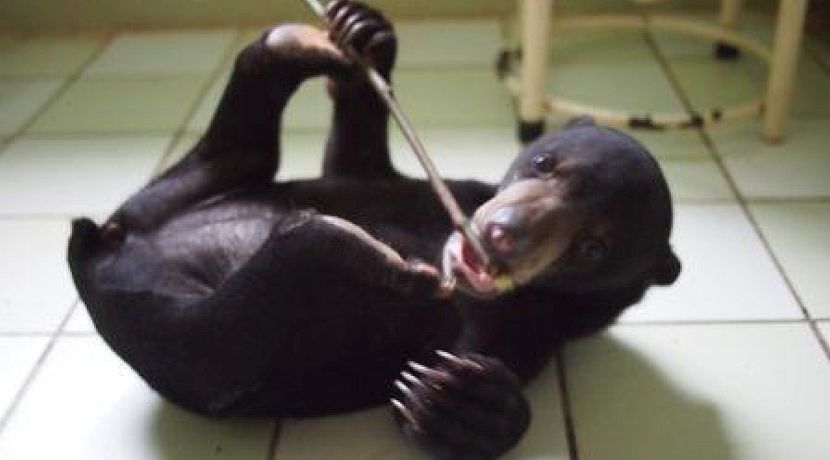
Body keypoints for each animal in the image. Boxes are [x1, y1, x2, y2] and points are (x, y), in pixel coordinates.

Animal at [67, 1, 680, 458]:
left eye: (593, 246)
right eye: (544, 163)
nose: (502, 235)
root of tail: (101, 248)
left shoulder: (522, 327)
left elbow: (438, 393)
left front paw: (461, 401)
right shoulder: (423, 186)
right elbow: (354, 157)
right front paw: (367, 33)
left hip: (187, 349)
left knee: (237, 312)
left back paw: (368, 254)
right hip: (175, 194)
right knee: (243, 149)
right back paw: (292, 45)